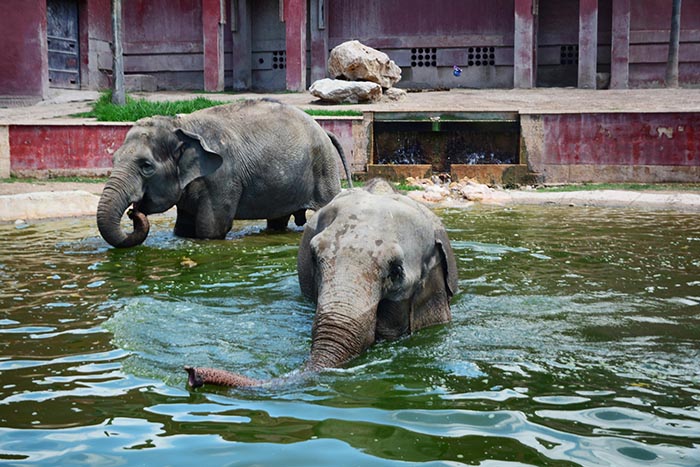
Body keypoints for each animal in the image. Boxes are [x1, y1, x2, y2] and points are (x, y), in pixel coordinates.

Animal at [95, 98, 352, 249]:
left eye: (146, 166)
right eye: (114, 160)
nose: (133, 212)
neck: (181, 124)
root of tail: (323, 129)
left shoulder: (222, 178)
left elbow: (211, 230)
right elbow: (182, 230)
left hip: (324, 169)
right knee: (277, 220)